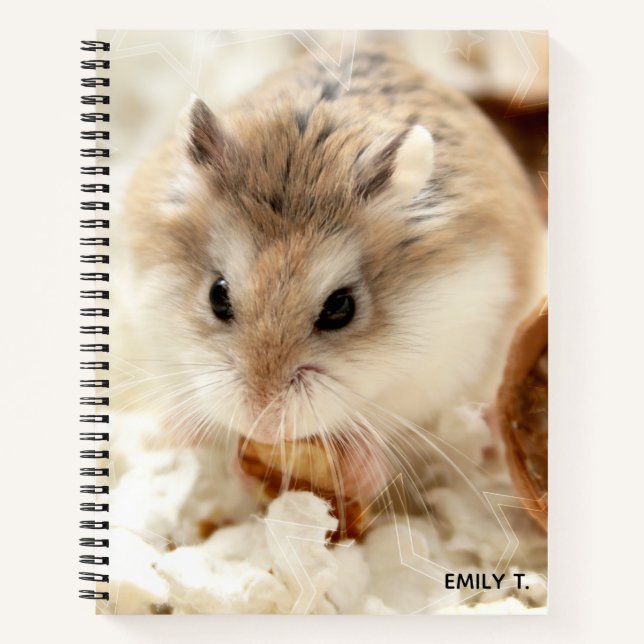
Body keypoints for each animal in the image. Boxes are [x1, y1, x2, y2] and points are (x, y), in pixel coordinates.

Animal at [122, 46, 546, 504]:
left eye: (340, 308)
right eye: (217, 296)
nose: (263, 425)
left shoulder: (446, 361)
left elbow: (386, 421)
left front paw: (358, 470)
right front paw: (192, 438)